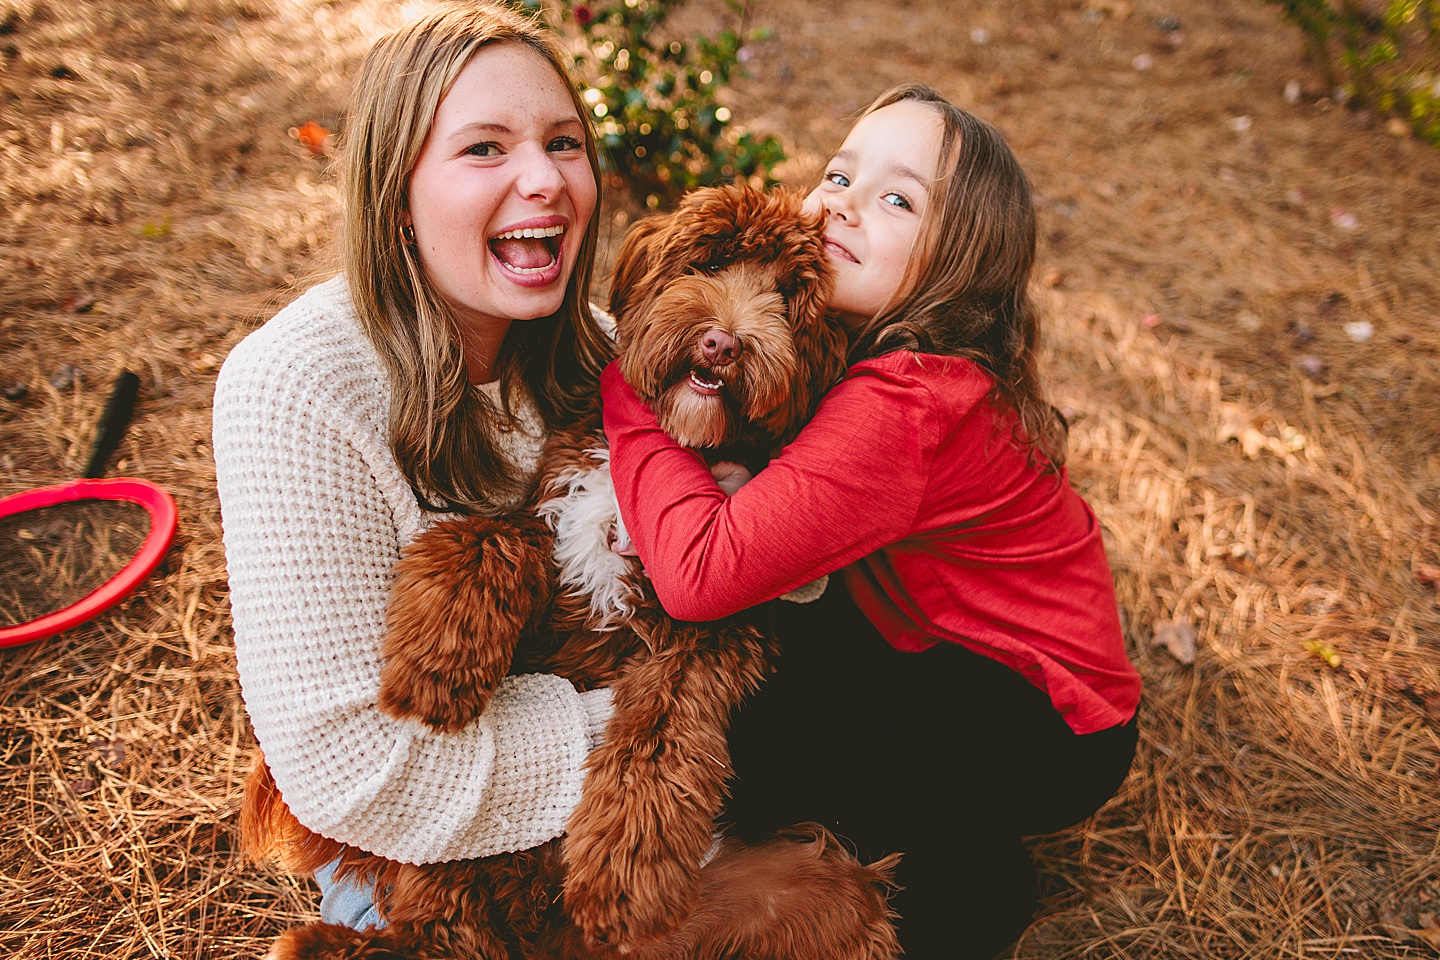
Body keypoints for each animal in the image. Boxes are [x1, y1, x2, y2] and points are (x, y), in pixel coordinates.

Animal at [244, 182, 898, 960]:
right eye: (707, 260)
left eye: (787, 297)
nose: (722, 342)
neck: (676, 446)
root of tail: (549, 936)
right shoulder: (559, 519)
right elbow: (492, 536)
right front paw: (433, 662)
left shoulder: (716, 624)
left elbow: (659, 733)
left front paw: (623, 869)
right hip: (465, 852)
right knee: (447, 922)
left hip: (825, 890)